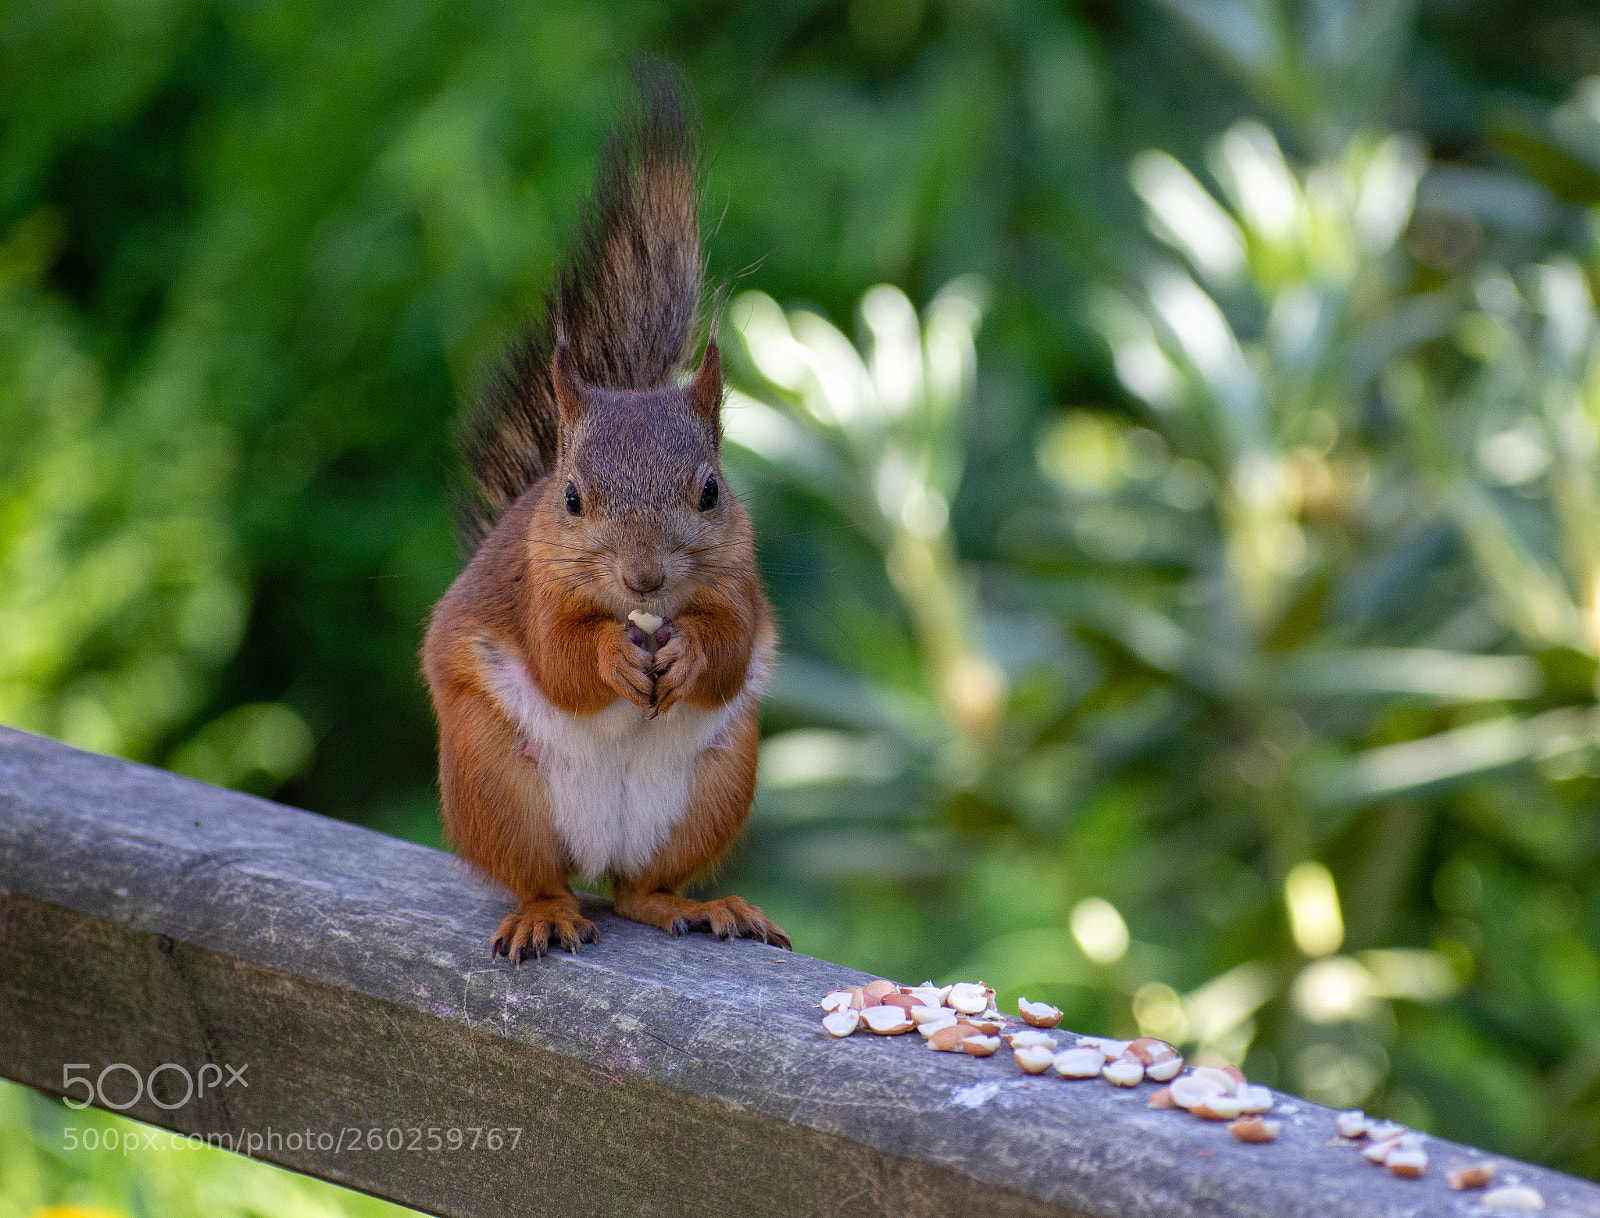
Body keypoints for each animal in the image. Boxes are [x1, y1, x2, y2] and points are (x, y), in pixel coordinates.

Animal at [422, 64, 789, 962]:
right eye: (572, 499)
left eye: (711, 490)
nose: (645, 578)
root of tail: (595, 851)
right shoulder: (533, 586)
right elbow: (559, 657)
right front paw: (609, 658)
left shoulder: (741, 577)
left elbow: (731, 646)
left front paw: (689, 652)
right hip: (492, 783)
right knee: (541, 877)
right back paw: (546, 914)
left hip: (715, 784)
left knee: (637, 890)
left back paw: (699, 905)